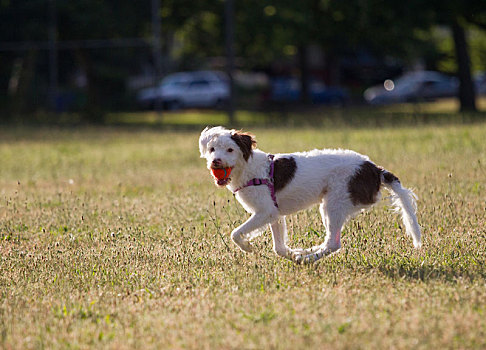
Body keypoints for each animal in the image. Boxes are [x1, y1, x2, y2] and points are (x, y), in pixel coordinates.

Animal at [199, 126, 420, 262]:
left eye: (230, 150)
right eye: (212, 149)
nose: (215, 161)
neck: (249, 168)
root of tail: (375, 169)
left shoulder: (266, 211)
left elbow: (235, 233)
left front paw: (247, 247)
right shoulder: (274, 214)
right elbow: (278, 247)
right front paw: (291, 253)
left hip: (335, 202)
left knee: (333, 243)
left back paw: (307, 259)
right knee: (330, 241)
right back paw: (305, 253)